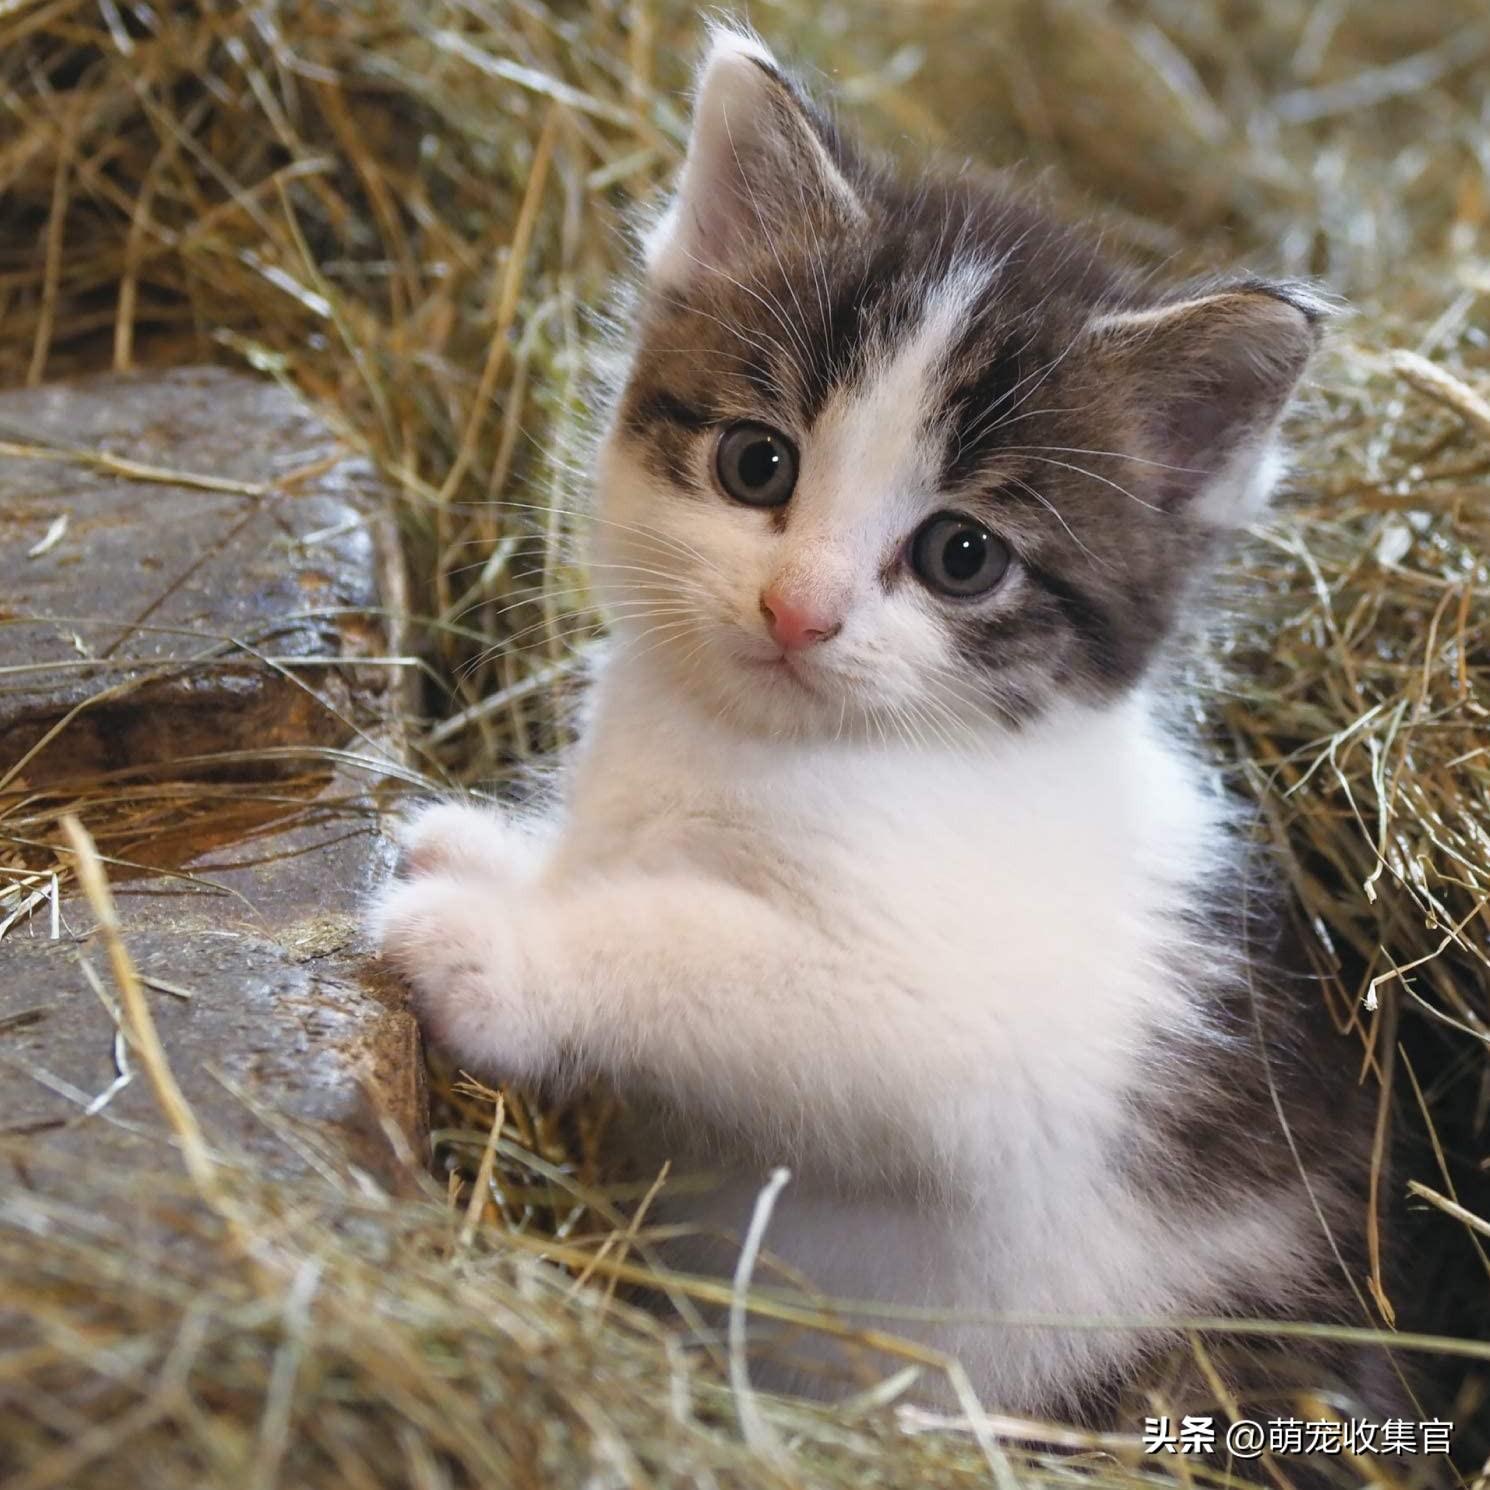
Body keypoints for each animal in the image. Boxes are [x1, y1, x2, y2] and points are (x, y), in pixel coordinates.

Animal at [372, 29, 1394, 1430]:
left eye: (961, 556)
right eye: (756, 464)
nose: (795, 609)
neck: (764, 744)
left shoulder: (966, 1043)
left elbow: (703, 949)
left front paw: (497, 944)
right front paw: (498, 857)